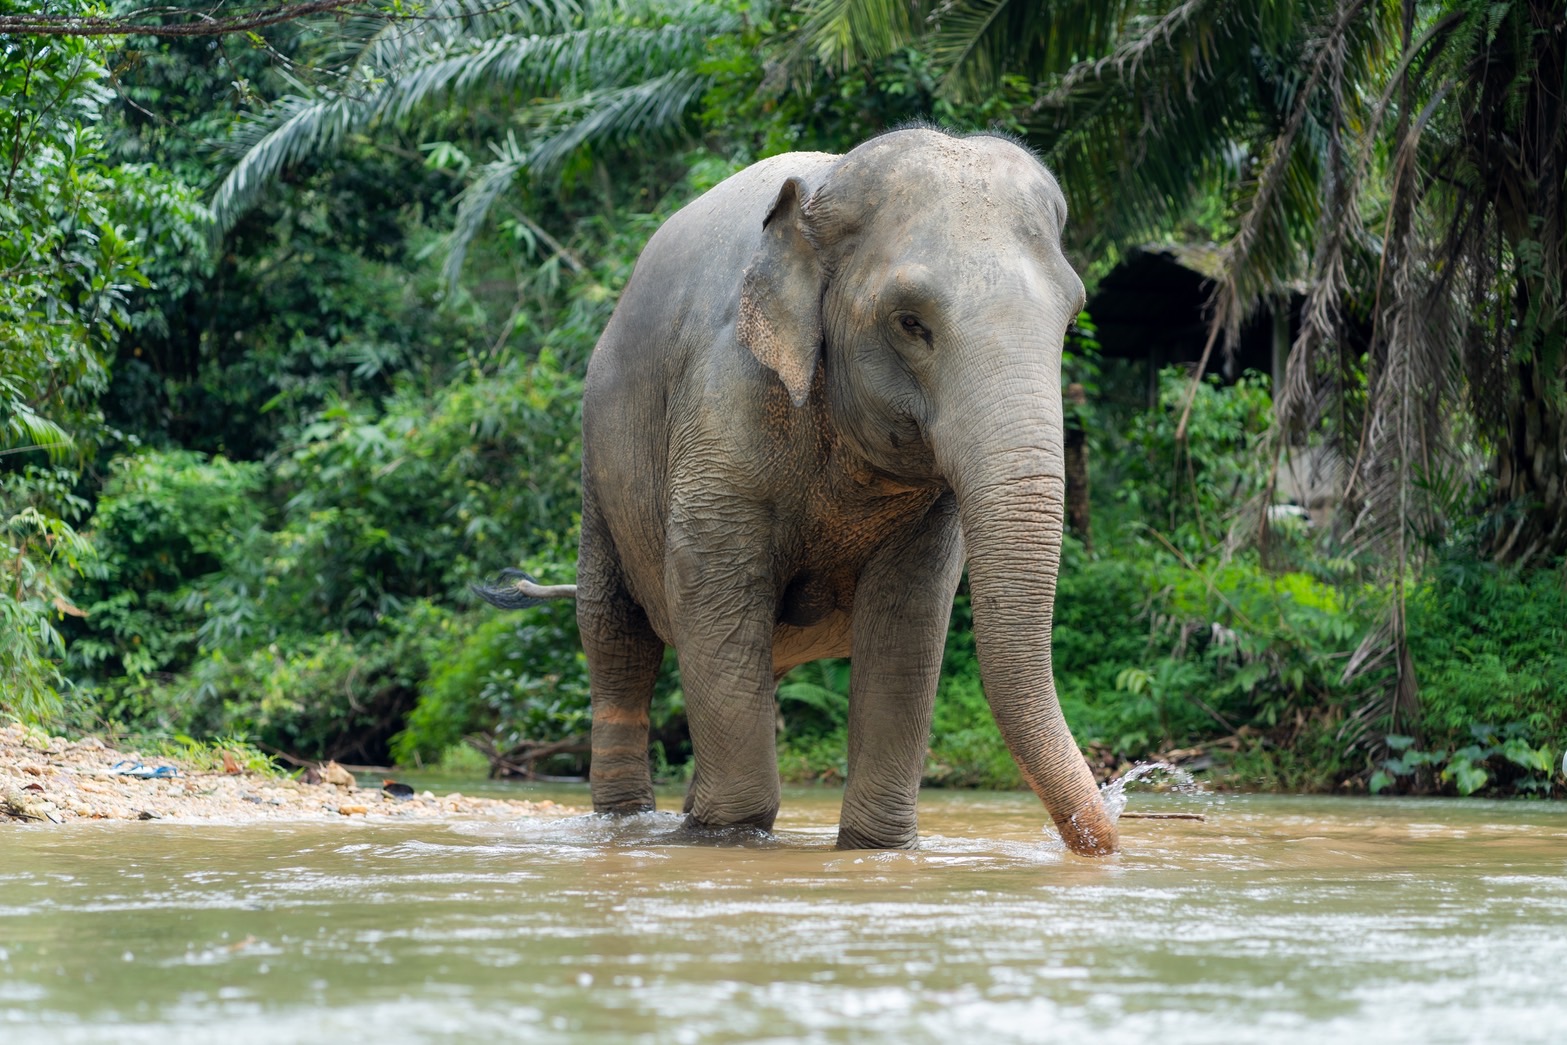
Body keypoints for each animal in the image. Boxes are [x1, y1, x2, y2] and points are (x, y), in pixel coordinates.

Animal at [478, 126, 1118, 856]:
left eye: (1072, 317)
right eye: (910, 322)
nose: (1101, 836)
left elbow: (910, 613)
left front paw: (874, 848)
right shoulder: (725, 393)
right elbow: (710, 585)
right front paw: (729, 837)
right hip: (599, 459)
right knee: (617, 636)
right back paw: (628, 824)